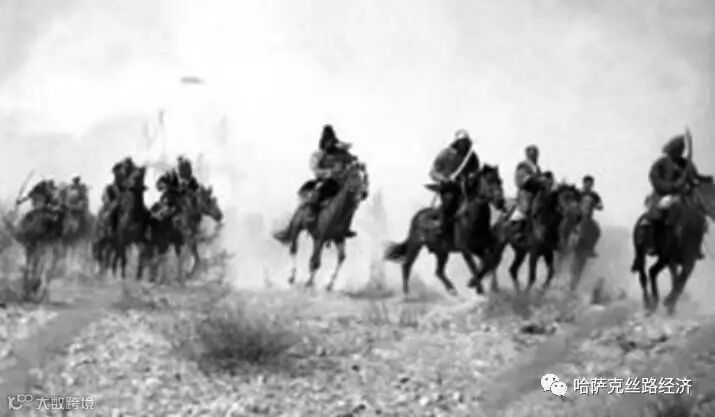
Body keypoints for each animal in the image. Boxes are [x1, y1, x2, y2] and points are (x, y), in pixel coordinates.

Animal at [275, 160, 369, 291]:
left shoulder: (339, 238)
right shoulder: (320, 238)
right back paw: (292, 277)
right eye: (354, 175)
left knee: (311, 257)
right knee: (294, 250)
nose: (364, 193)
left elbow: (341, 258)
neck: (338, 213)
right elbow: (316, 262)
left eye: (364, 176)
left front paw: (329, 285)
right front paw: (309, 283)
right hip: (297, 228)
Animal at [383, 164, 506, 296]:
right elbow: (476, 266)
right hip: (415, 246)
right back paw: (407, 293)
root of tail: (418, 216)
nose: (500, 202)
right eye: (489, 182)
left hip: (442, 252)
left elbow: (491, 261)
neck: (475, 220)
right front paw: (476, 286)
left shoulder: (482, 247)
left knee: (438, 271)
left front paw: (490, 287)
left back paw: (451, 289)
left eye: (500, 181)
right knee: (406, 266)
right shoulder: (466, 250)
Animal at [631, 182, 715, 315]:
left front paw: (671, 305)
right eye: (710, 195)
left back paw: (652, 302)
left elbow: (678, 280)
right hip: (652, 255)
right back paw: (651, 302)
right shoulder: (680, 261)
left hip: (651, 256)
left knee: (647, 274)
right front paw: (670, 302)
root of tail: (643, 221)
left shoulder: (681, 262)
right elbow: (678, 280)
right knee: (647, 273)